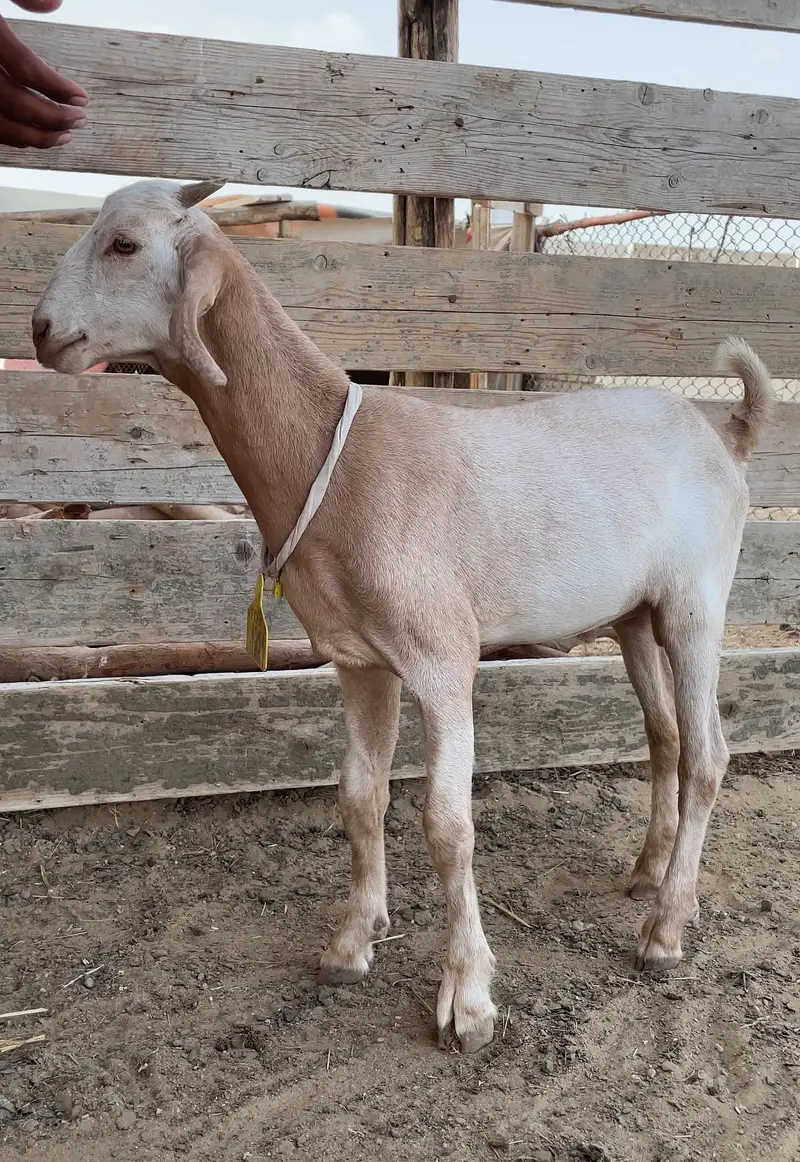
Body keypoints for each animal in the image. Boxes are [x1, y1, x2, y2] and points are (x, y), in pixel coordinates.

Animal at [32, 179, 773, 1054]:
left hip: (698, 600)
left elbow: (448, 826)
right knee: (664, 737)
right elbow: (360, 796)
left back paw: (665, 930)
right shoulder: (359, 660)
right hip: (635, 612)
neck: (334, 457)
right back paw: (649, 874)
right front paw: (353, 942)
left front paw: (470, 999)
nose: (40, 330)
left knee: (708, 755)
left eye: (124, 244)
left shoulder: (442, 658)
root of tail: (728, 434)